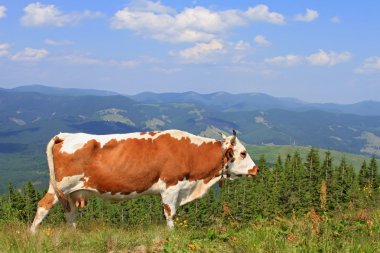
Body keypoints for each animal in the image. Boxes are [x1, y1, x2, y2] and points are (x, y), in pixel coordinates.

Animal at [31, 129, 260, 232]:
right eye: (243, 153)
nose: (256, 169)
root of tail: (65, 135)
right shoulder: (171, 187)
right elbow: (170, 214)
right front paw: (172, 234)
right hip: (61, 186)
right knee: (43, 206)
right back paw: (32, 234)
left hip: (70, 193)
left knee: (70, 213)